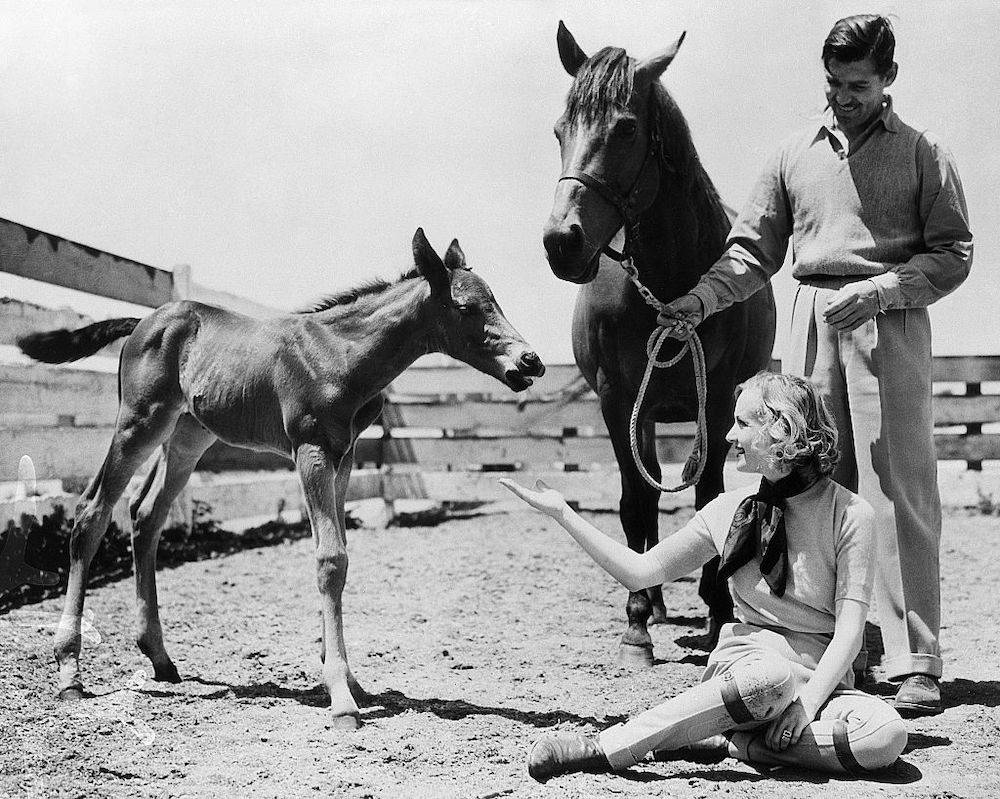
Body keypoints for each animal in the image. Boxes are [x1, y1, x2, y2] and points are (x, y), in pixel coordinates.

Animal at [17, 228, 548, 728]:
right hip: (139, 423)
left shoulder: (343, 455)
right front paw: (341, 699)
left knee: (145, 515)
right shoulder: (310, 450)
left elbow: (337, 551)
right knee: (91, 513)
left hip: (187, 436)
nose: (531, 362)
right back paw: (69, 672)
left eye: (496, 300)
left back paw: (160, 658)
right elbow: (330, 559)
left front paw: (349, 678)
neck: (341, 354)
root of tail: (144, 321)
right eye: (465, 307)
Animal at [544, 21, 776, 664]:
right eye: (559, 129)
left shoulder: (717, 400)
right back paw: (652, 595)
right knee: (643, 496)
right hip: (642, 414)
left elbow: (711, 496)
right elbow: (634, 502)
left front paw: (719, 609)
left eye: (625, 128)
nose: (561, 242)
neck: (671, 280)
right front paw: (636, 623)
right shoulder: (617, 400)